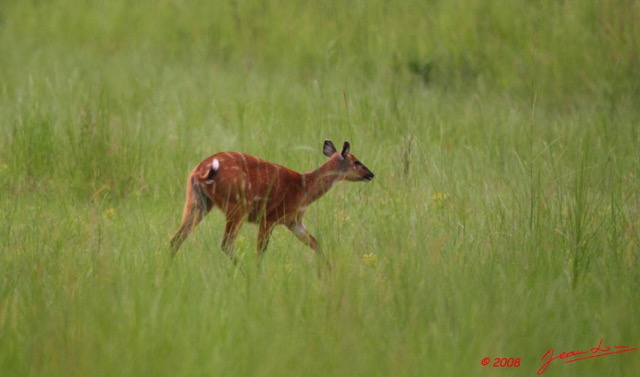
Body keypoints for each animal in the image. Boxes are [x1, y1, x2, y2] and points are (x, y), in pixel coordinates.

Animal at [170, 139, 372, 262]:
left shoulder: (293, 221)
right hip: (237, 205)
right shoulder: (270, 217)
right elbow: (260, 251)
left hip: (197, 201)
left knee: (176, 238)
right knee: (225, 244)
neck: (303, 188)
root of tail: (200, 171)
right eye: (356, 162)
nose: (371, 174)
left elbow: (315, 244)